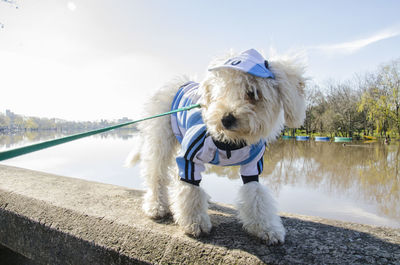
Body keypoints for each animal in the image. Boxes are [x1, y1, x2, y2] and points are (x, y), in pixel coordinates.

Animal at [128, 49, 306, 243]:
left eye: (252, 93)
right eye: (221, 91)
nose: (226, 119)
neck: (230, 141)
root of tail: (179, 83)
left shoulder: (252, 165)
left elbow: (256, 195)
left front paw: (267, 228)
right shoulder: (190, 155)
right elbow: (190, 190)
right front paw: (195, 223)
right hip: (160, 140)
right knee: (156, 174)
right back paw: (156, 206)